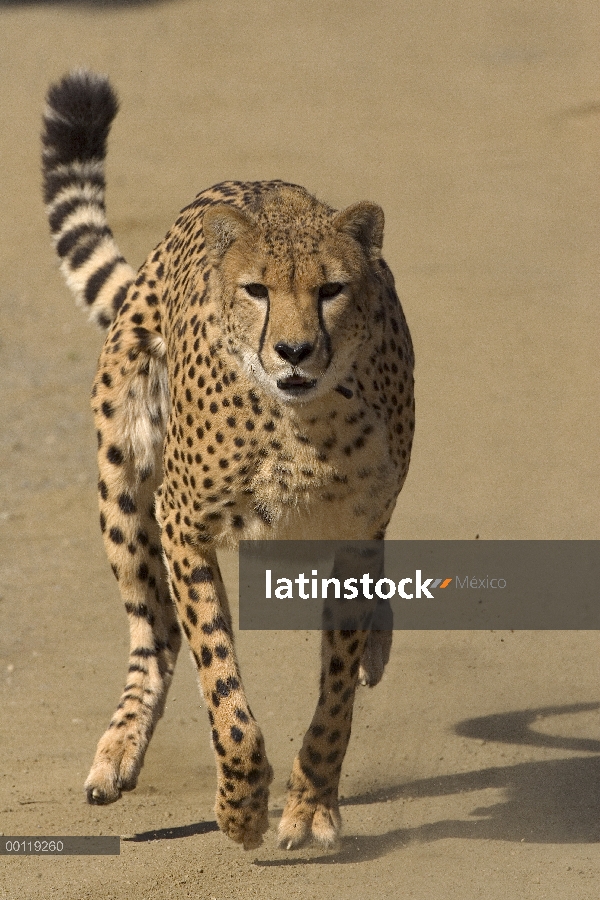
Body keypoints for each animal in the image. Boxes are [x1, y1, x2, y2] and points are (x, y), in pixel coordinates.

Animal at [42, 70, 414, 852]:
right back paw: (118, 751)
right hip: (125, 482)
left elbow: (335, 690)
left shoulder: (351, 531)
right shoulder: (183, 523)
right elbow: (220, 678)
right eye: (257, 290)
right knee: (152, 631)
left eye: (331, 289)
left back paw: (379, 637)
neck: (303, 424)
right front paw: (242, 805)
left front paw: (311, 802)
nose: (295, 351)